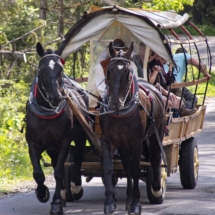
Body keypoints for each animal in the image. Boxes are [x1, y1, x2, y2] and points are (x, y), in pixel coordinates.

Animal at [24, 42, 86, 214]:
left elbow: (58, 172)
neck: (47, 112)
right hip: (51, 147)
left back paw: (75, 187)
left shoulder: (65, 141)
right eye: (41, 69)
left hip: (80, 137)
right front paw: (42, 193)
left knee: (78, 157)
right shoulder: (33, 143)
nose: (56, 97)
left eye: (61, 70)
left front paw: (56, 203)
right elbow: (38, 173)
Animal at [100, 42, 165, 215]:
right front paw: (110, 202)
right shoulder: (108, 140)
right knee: (127, 167)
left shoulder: (136, 142)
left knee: (155, 158)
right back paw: (128, 198)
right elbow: (109, 168)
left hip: (157, 134)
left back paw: (156, 186)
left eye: (127, 72)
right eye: (109, 70)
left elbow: (136, 169)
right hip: (123, 144)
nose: (115, 103)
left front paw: (136, 203)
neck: (120, 112)